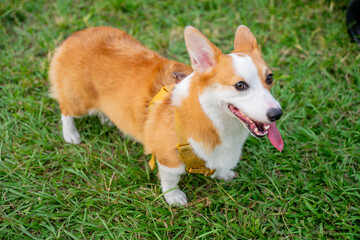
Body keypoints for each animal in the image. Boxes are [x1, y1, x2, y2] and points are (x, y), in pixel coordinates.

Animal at [49, 25, 282, 205]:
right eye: (240, 85)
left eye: (269, 78)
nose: (277, 114)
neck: (210, 116)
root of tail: (75, 37)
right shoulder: (168, 159)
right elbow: (170, 179)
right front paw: (174, 197)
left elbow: (214, 165)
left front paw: (222, 174)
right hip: (80, 102)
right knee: (65, 109)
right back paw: (70, 134)